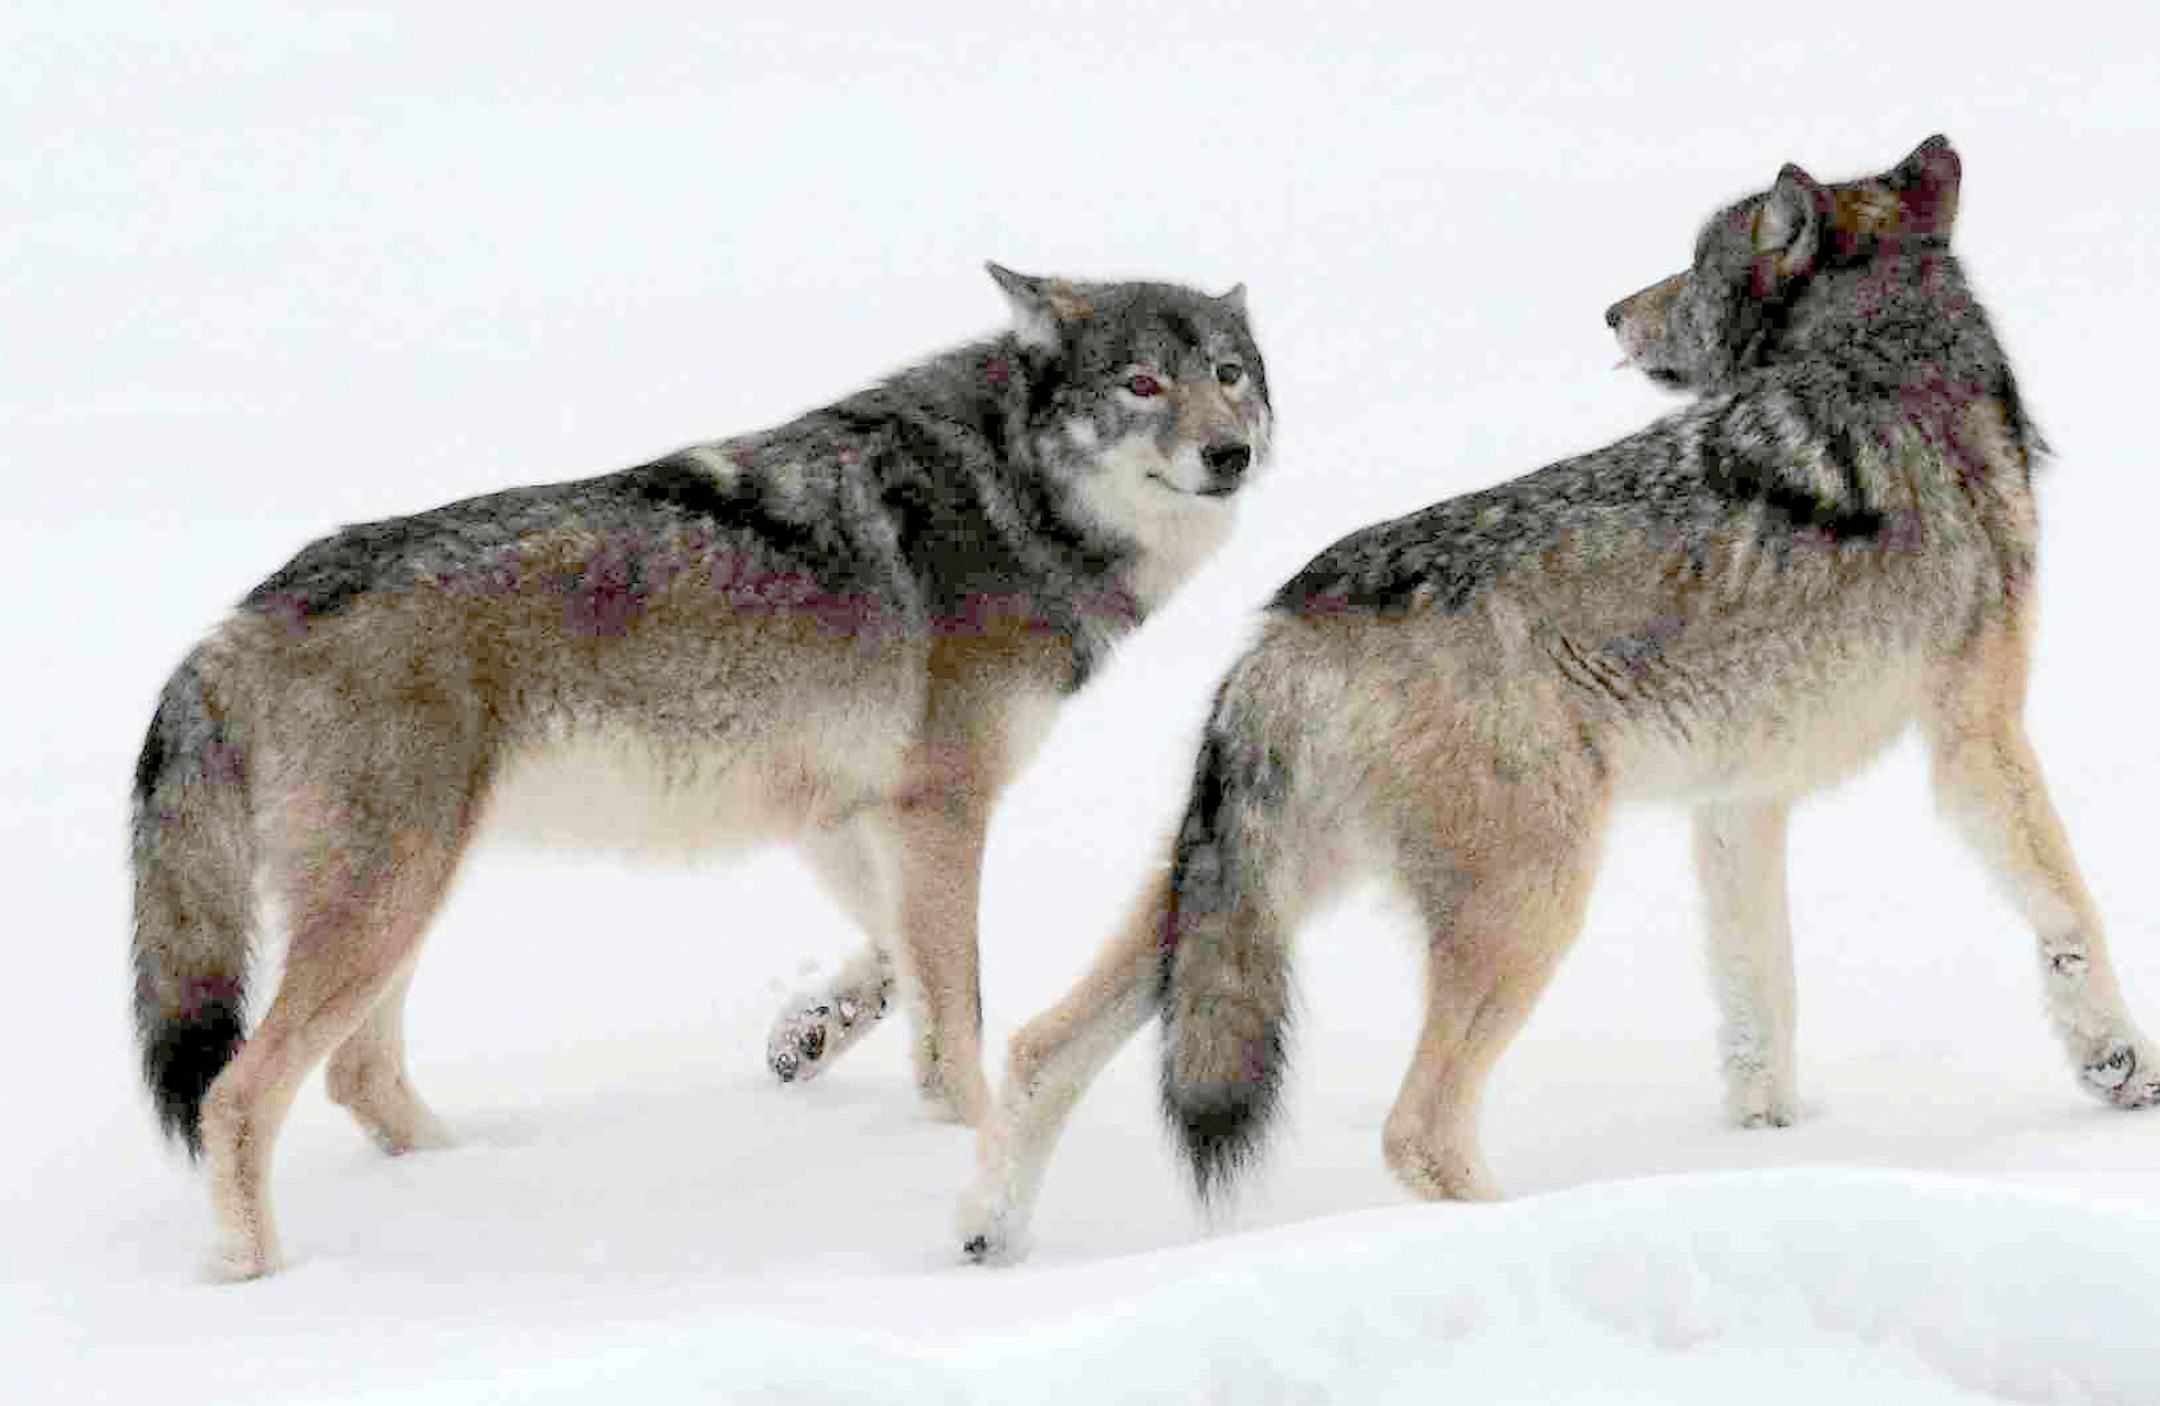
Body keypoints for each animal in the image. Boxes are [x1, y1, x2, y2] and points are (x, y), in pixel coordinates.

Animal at [129, 264, 1271, 1279]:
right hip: (390, 901)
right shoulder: (942, 807)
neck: (1009, 494)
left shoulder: (841, 813)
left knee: (359, 1077)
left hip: (408, 901)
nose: (1232, 452)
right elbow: (962, 1012)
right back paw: (260, 1272)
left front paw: (812, 1035)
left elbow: (896, 962)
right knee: (240, 1094)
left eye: (1228, 372)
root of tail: (231, 625)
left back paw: (478, 1182)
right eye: (1141, 383)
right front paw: (968, 1146)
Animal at [959, 136, 2155, 1263]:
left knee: (1039, 1045)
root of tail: (1287, 622)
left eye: (1691, 264)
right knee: (1417, 1132)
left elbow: (1760, 1004)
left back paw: (988, 1238)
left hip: (1232, 906)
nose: (1614, 309)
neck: (1886, 356)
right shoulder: (1976, 735)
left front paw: (1771, 1146)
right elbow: (2071, 908)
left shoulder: (1740, 804)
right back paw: (1539, 1233)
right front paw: (2120, 1066)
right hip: (1536, 898)